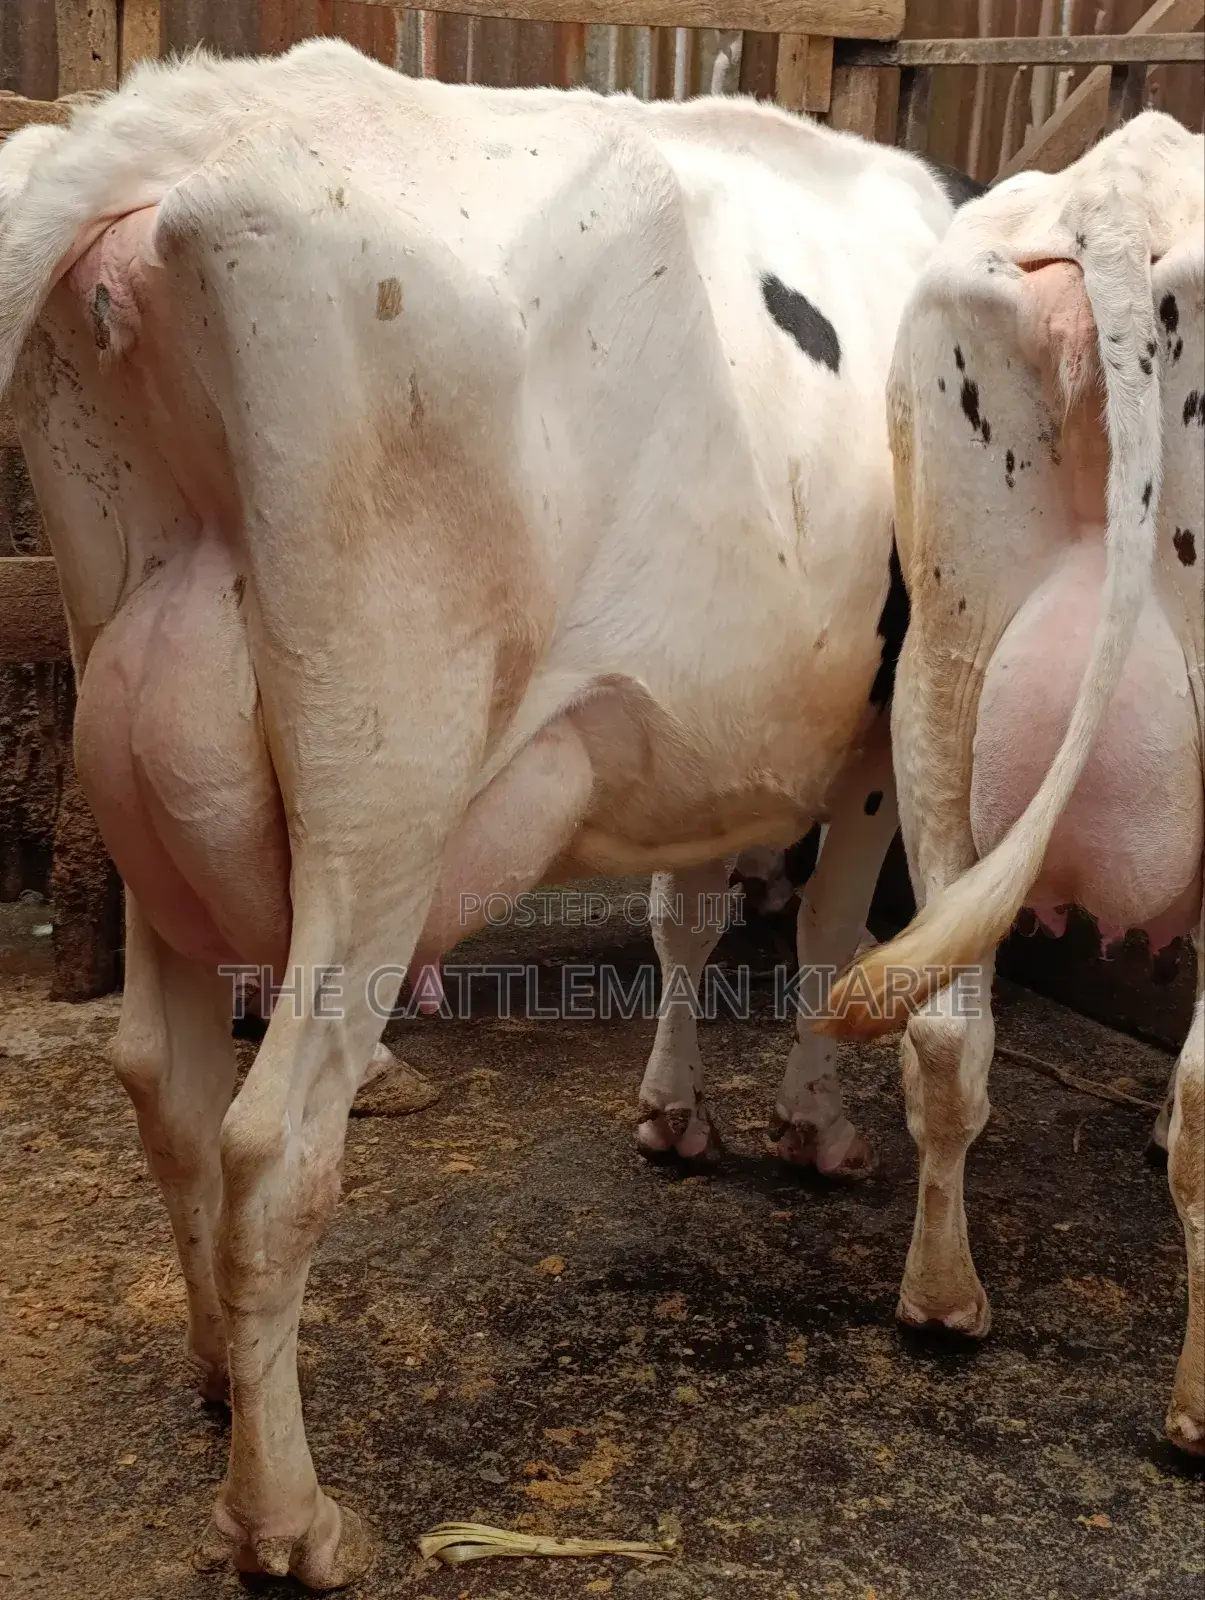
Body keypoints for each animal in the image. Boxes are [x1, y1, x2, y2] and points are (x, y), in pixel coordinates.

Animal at [0, 39, 974, 1584]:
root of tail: (183, 114)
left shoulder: (705, 742)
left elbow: (689, 914)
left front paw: (678, 1115)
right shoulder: (876, 726)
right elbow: (829, 934)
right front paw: (812, 1130)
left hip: (141, 735)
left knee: (167, 1082)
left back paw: (217, 1378)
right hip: (381, 787)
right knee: (274, 1144)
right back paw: (289, 1518)